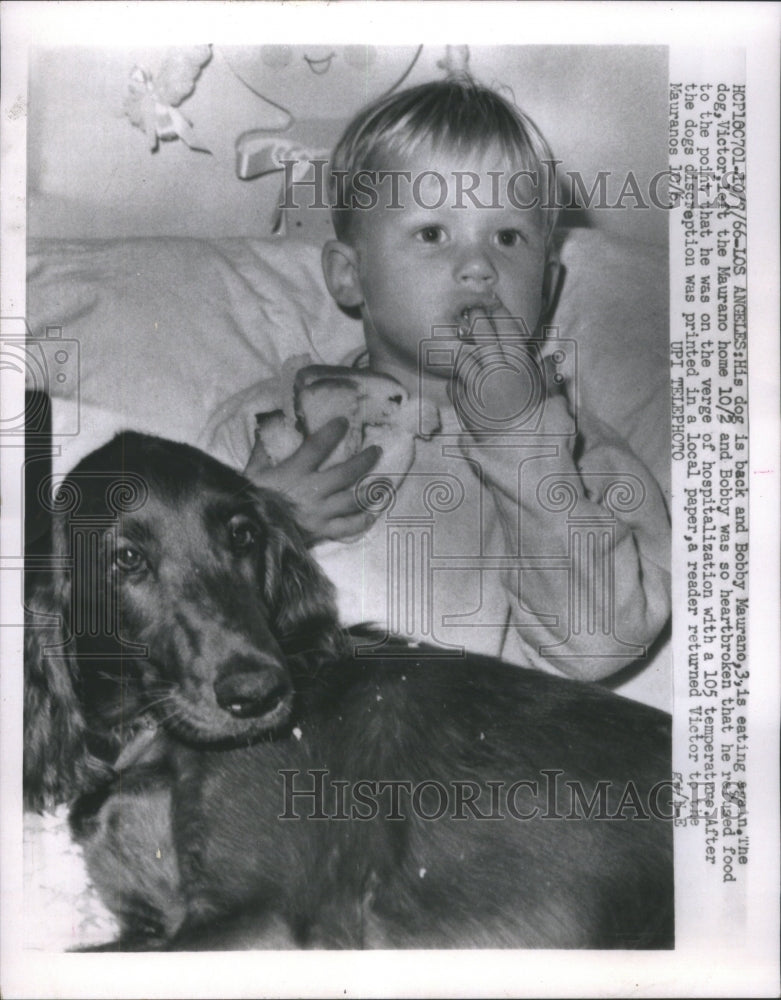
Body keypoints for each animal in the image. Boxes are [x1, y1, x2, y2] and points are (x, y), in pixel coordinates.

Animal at [22, 434, 672, 948]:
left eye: (243, 535)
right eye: (128, 559)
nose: (259, 694)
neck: (150, 739)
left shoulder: (264, 920)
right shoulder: (154, 923)